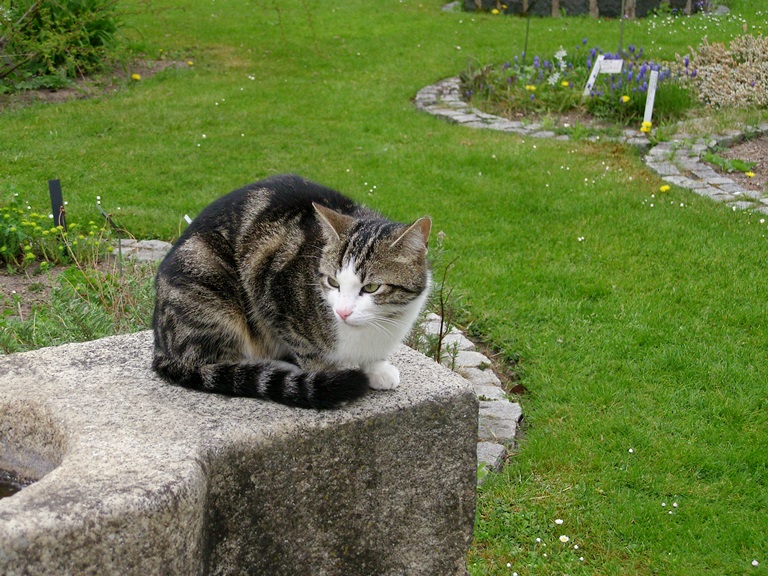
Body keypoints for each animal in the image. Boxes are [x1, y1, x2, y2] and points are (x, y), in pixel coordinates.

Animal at [152, 174, 432, 410]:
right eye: (333, 282)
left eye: (371, 287)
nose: (342, 312)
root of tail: (160, 344)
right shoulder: (269, 289)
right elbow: (307, 350)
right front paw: (328, 378)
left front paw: (376, 367)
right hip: (209, 284)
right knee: (213, 358)